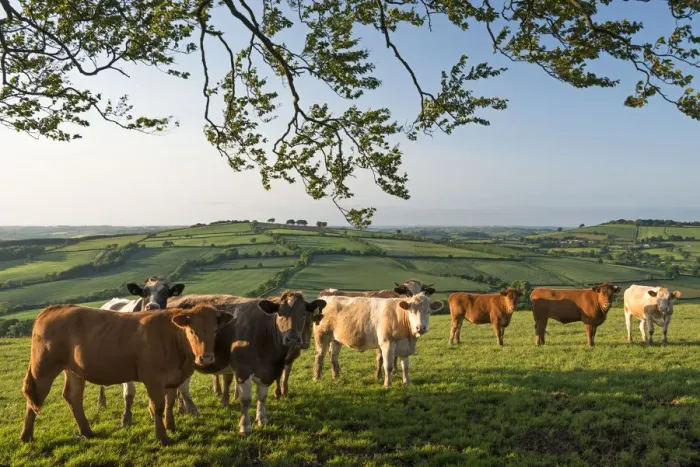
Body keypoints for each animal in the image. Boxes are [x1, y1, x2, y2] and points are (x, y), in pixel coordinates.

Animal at [19, 304, 232, 446]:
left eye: (215, 330)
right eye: (192, 331)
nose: (206, 358)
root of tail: (55, 308)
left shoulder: (173, 378)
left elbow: (169, 402)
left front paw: (171, 426)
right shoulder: (153, 378)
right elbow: (157, 406)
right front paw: (163, 437)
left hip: (74, 370)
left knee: (73, 397)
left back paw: (87, 432)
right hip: (43, 368)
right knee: (34, 399)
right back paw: (26, 436)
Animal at [96, 277, 188, 421]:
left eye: (165, 293)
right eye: (144, 292)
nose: (152, 306)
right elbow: (129, 393)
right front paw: (126, 417)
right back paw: (101, 402)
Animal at [167, 291, 326, 434]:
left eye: (303, 314)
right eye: (280, 313)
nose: (292, 339)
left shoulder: (267, 371)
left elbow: (262, 397)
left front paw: (262, 419)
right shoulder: (243, 370)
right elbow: (246, 399)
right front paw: (245, 427)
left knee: (181, 387)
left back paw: (185, 409)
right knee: (181, 387)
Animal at [313, 292, 444, 387]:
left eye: (428, 311)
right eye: (411, 311)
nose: (420, 327)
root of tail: (326, 297)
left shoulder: (404, 347)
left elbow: (405, 367)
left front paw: (407, 382)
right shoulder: (387, 343)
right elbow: (388, 366)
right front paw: (387, 384)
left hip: (336, 339)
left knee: (333, 357)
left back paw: (336, 377)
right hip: (321, 336)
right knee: (319, 356)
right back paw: (317, 378)